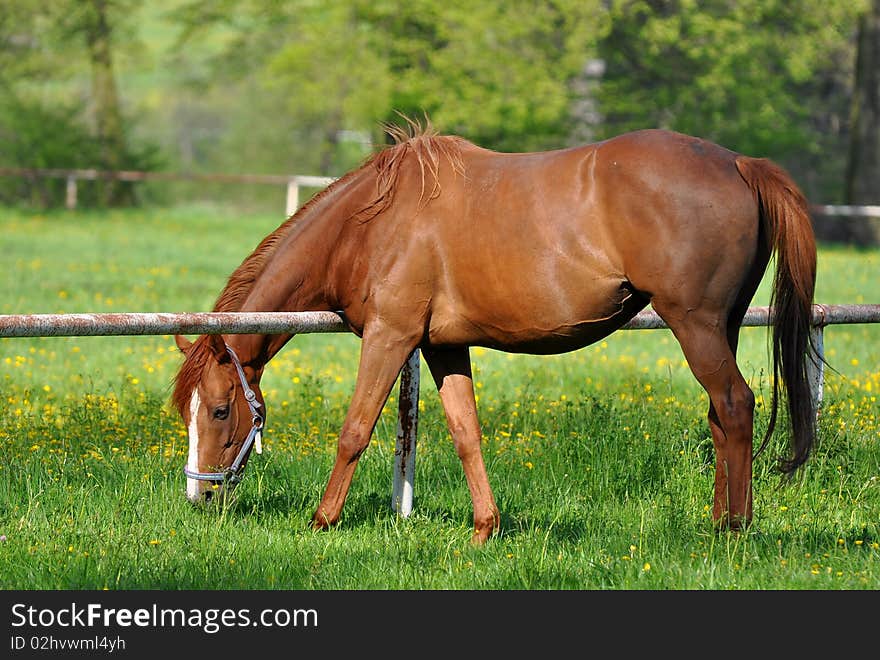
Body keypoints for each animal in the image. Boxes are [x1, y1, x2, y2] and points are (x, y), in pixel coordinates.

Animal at [172, 121, 820, 544]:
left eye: (222, 410)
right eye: (190, 411)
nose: (199, 495)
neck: (370, 222)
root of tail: (741, 164)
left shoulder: (390, 336)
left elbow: (354, 430)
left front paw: (321, 521)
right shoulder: (443, 347)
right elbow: (468, 435)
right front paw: (486, 528)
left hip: (697, 325)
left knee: (734, 405)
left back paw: (735, 530)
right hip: (721, 327)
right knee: (719, 414)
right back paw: (717, 521)